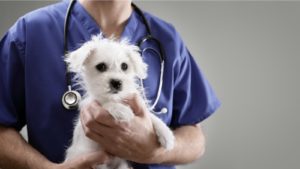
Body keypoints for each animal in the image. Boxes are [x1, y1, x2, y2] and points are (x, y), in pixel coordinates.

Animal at [64, 35, 175, 169]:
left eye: (124, 66)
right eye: (101, 66)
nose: (116, 82)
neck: (116, 98)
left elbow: (152, 117)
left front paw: (167, 135)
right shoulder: (94, 103)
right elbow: (105, 103)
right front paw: (122, 110)